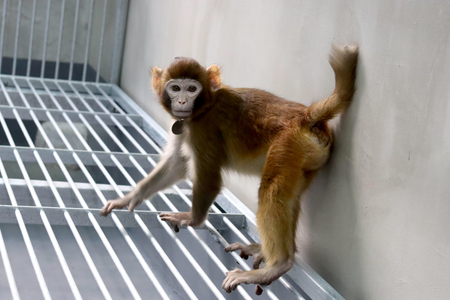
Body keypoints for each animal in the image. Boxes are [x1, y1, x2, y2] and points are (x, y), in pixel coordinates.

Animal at [101, 44, 358, 296]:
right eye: (175, 88)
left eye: (191, 88)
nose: (182, 102)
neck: (206, 106)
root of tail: (306, 116)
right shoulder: (186, 126)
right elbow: (176, 164)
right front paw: (129, 198)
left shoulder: (204, 128)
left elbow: (209, 178)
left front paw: (192, 219)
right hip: (305, 157)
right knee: (288, 197)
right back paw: (268, 251)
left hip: (288, 144)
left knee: (272, 192)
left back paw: (277, 264)